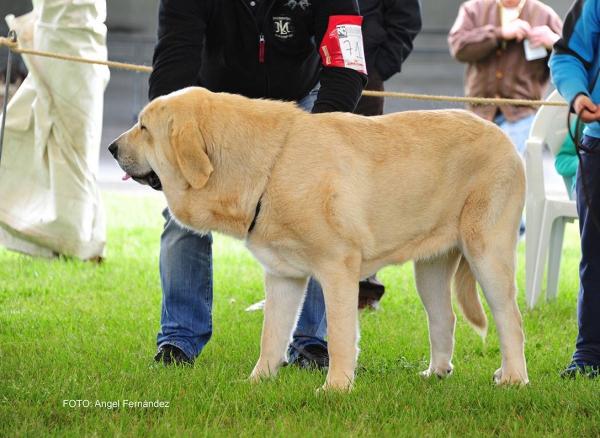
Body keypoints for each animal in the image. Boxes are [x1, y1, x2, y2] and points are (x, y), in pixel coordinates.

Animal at [109, 87, 528, 392]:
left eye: (144, 128)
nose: (112, 148)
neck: (270, 166)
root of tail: (502, 136)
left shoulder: (338, 270)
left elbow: (341, 335)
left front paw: (336, 388)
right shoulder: (283, 276)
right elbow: (272, 336)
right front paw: (257, 382)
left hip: (486, 253)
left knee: (510, 318)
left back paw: (512, 377)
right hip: (430, 270)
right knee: (444, 318)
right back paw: (436, 373)